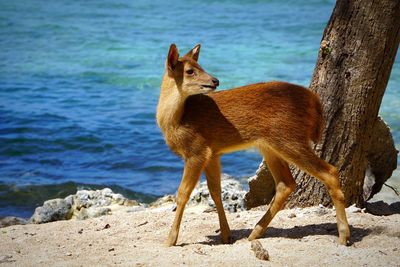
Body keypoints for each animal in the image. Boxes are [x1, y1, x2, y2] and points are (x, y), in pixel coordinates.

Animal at [156, 43, 350, 247]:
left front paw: (170, 240)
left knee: (330, 172)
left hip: (289, 139)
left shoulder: (197, 150)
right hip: (270, 146)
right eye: (190, 70)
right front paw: (226, 236)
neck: (177, 119)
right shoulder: (213, 152)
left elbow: (182, 193)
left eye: (199, 66)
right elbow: (215, 191)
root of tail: (315, 101)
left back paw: (343, 236)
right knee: (286, 184)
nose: (215, 80)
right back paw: (255, 233)